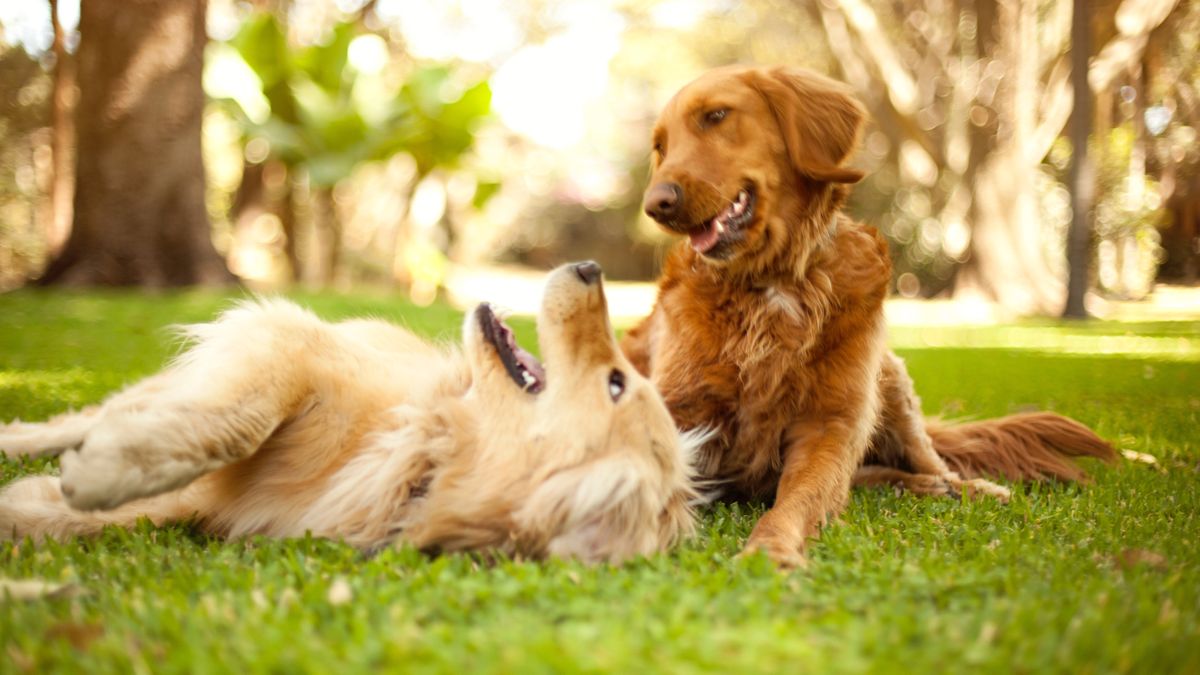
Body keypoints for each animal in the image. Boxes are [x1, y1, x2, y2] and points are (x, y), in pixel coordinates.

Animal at [0, 263, 700, 562]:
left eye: (616, 383)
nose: (590, 265)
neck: (424, 451)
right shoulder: (288, 343)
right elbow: (238, 421)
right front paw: (104, 472)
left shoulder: (210, 504)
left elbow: (82, 517)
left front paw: (51, 499)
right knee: (87, 416)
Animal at [619, 64, 1113, 566]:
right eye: (660, 147)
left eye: (716, 116)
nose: (655, 205)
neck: (774, 283)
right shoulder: (678, 411)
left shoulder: (831, 424)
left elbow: (798, 501)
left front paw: (770, 550)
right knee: (870, 476)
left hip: (889, 382)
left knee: (928, 462)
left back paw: (964, 487)